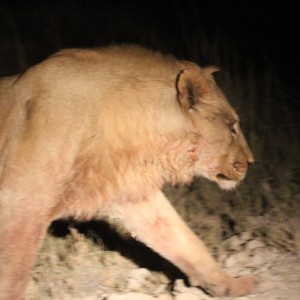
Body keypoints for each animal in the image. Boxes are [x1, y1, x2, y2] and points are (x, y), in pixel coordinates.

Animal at [0, 45, 254, 300]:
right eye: (232, 127)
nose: (251, 161)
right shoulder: (21, 202)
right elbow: (14, 272)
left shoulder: (134, 197)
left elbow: (184, 241)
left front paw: (230, 285)